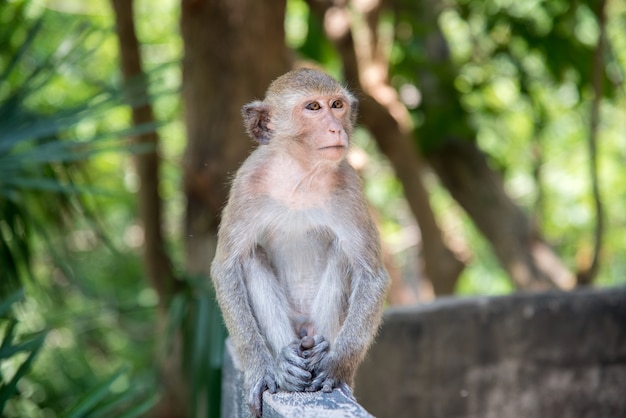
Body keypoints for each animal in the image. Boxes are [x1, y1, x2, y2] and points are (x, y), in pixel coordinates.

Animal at [212, 68, 388, 414]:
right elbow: (226, 267)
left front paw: (335, 367)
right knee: (249, 257)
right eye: (313, 108)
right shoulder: (247, 181)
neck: (300, 174)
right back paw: (287, 363)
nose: (335, 127)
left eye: (337, 105)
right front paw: (262, 368)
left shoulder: (348, 185)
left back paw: (317, 350)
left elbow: (372, 276)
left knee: (342, 252)